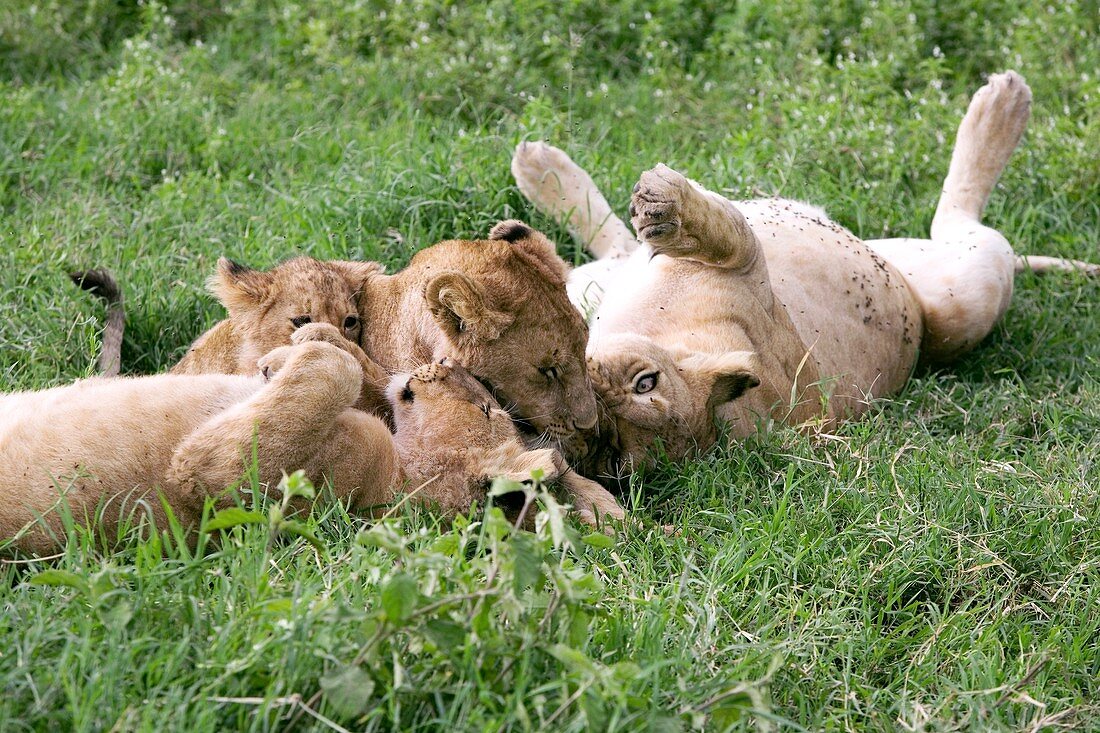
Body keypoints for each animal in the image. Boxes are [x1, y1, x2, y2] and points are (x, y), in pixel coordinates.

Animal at [0, 323, 624, 550]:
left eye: (488, 409)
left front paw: (281, 361)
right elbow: (356, 365)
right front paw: (298, 342)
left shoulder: (219, 480)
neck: (401, 470)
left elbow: (334, 369)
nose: (452, 363)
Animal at [510, 71, 1095, 477]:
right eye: (604, 450)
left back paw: (1002, 102)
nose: (588, 415)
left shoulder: (750, 272)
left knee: (960, 220)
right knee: (613, 249)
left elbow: (722, 230)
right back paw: (537, 172)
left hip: (960, 295)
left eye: (645, 384)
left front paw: (664, 204)